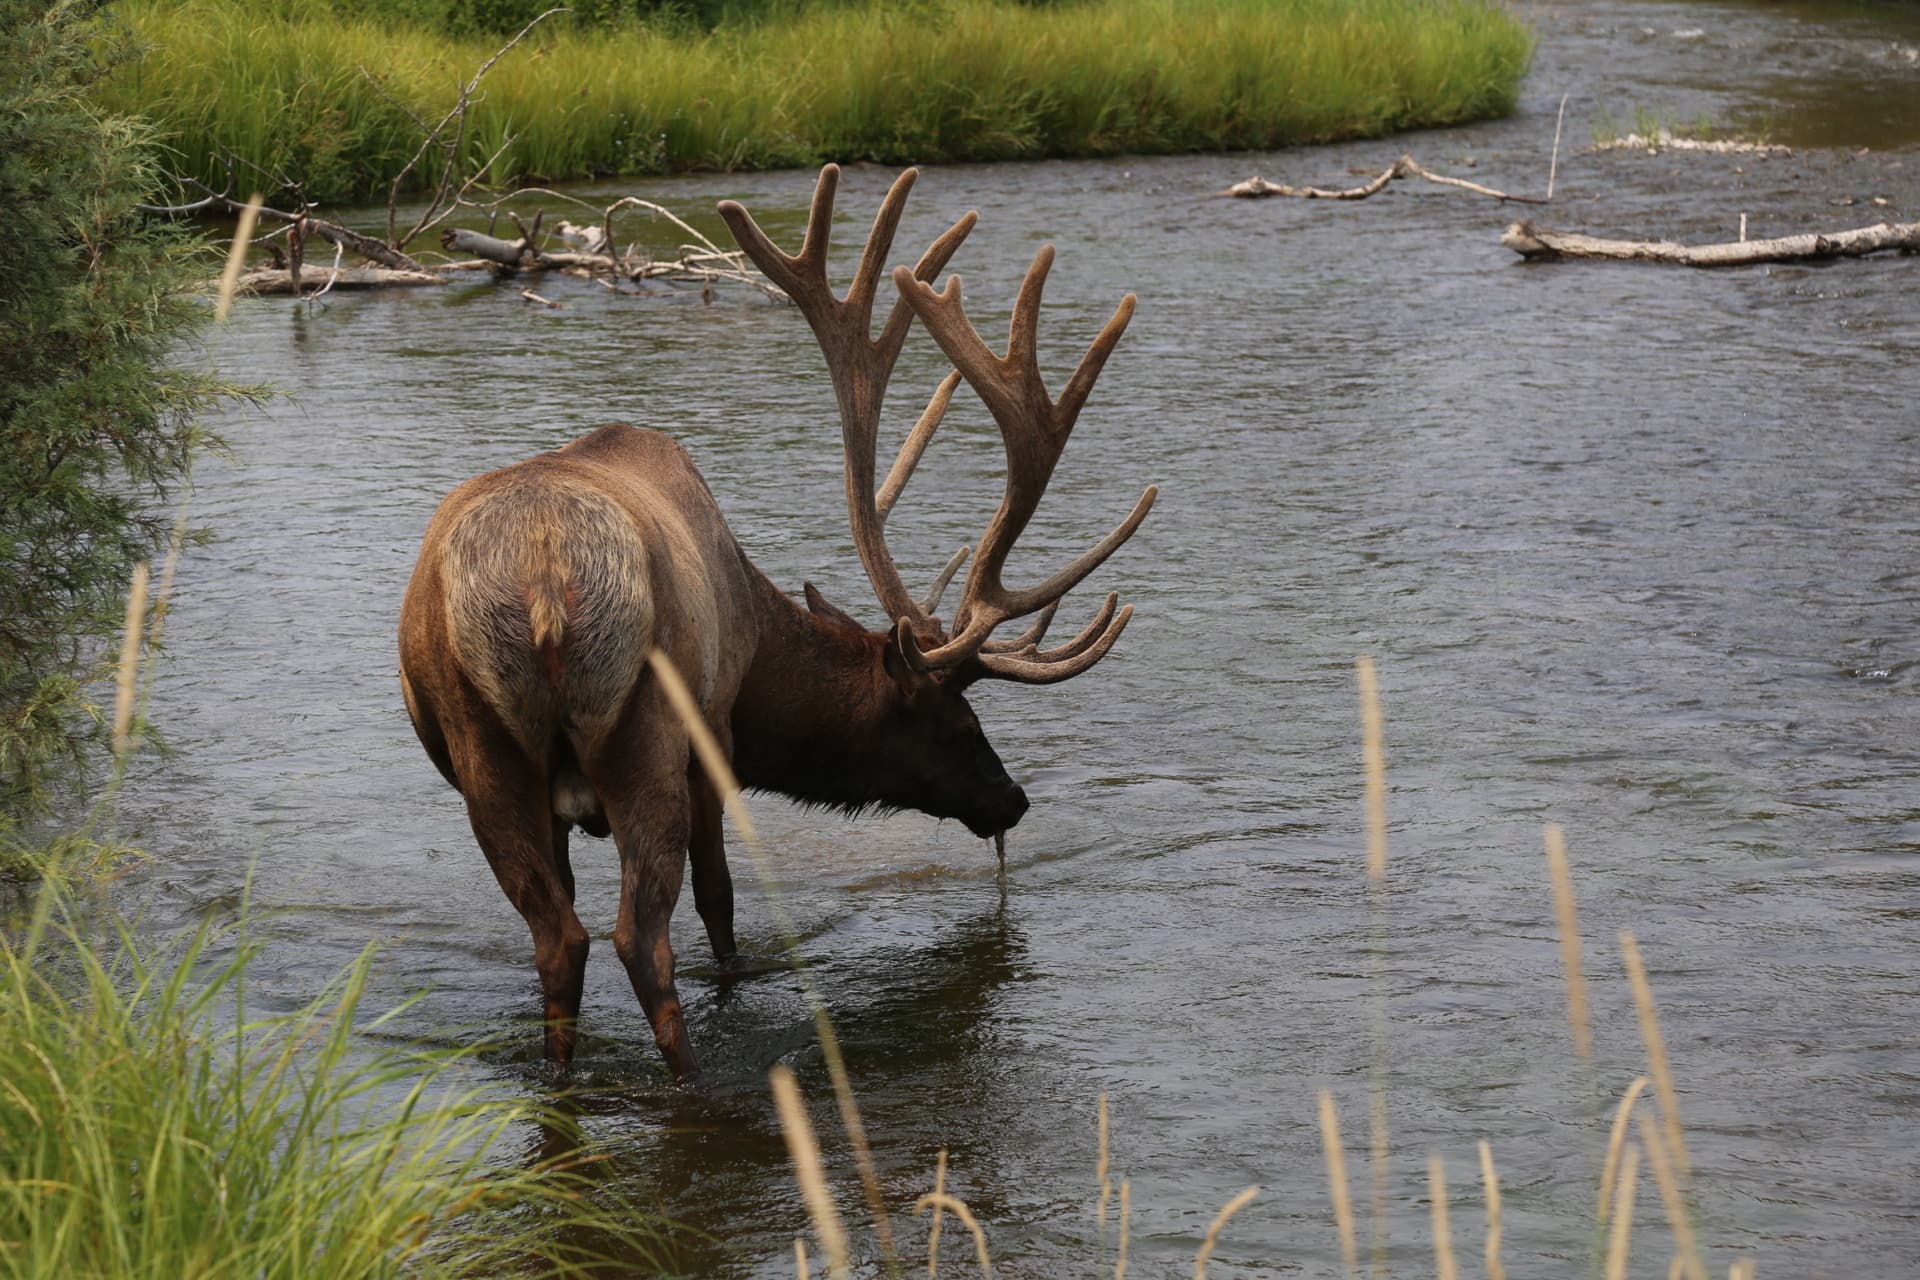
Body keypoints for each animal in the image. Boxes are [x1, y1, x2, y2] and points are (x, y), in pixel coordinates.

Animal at [397, 165, 1156, 1077]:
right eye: (960, 724)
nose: (1012, 800)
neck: (757, 634)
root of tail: (543, 581)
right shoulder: (718, 729)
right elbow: (721, 899)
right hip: (648, 730)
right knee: (639, 937)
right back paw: (695, 1075)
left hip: (485, 753)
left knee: (561, 938)